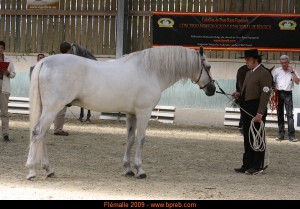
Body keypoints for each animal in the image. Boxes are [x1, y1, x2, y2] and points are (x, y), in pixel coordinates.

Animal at [25, 45, 216, 180]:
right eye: (208, 66)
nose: (212, 89)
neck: (150, 71)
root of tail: (45, 62)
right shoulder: (144, 112)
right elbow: (141, 139)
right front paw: (140, 170)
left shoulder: (131, 114)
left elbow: (130, 139)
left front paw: (128, 169)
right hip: (52, 108)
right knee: (37, 133)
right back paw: (32, 171)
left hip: (48, 109)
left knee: (42, 135)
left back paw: (48, 170)